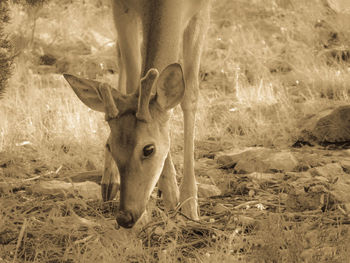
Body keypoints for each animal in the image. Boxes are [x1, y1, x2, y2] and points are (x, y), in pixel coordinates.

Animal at [63, 0, 211, 229]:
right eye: (110, 146)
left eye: (148, 149)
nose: (125, 217)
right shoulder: (122, 9)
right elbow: (135, 79)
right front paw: (169, 194)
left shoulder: (202, 11)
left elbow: (190, 95)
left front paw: (189, 205)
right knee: (120, 56)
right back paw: (110, 181)